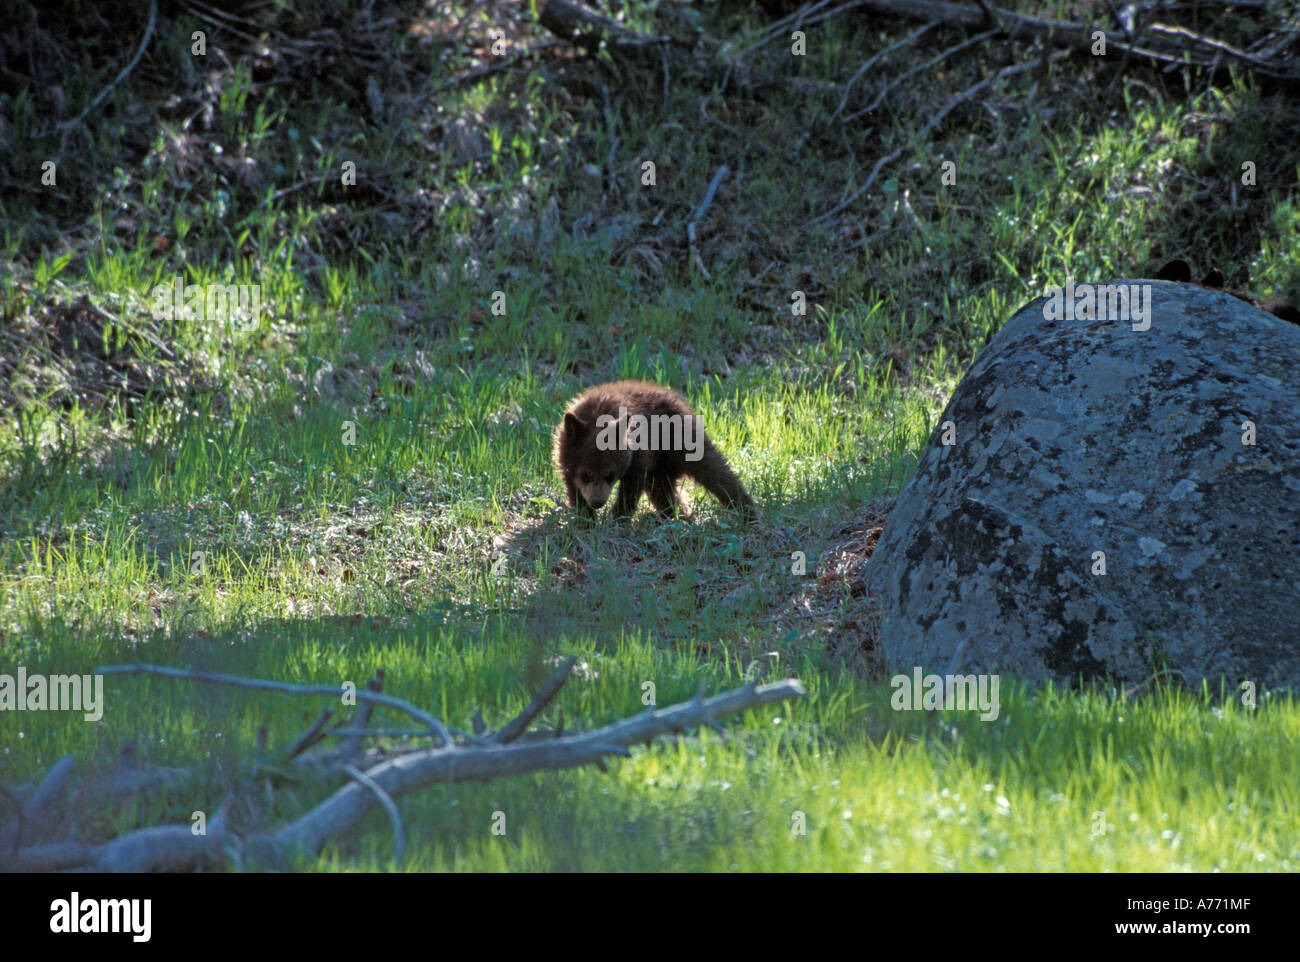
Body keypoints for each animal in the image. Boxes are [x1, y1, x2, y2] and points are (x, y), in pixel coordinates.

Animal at [552, 380, 756, 520]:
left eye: (610, 475)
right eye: (585, 475)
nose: (597, 502)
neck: (599, 413)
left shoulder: (640, 452)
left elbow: (632, 485)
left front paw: (617, 516)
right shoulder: (565, 456)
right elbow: (573, 487)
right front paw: (585, 517)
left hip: (682, 441)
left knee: (714, 471)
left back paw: (747, 510)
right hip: (662, 466)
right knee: (661, 489)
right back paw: (677, 515)